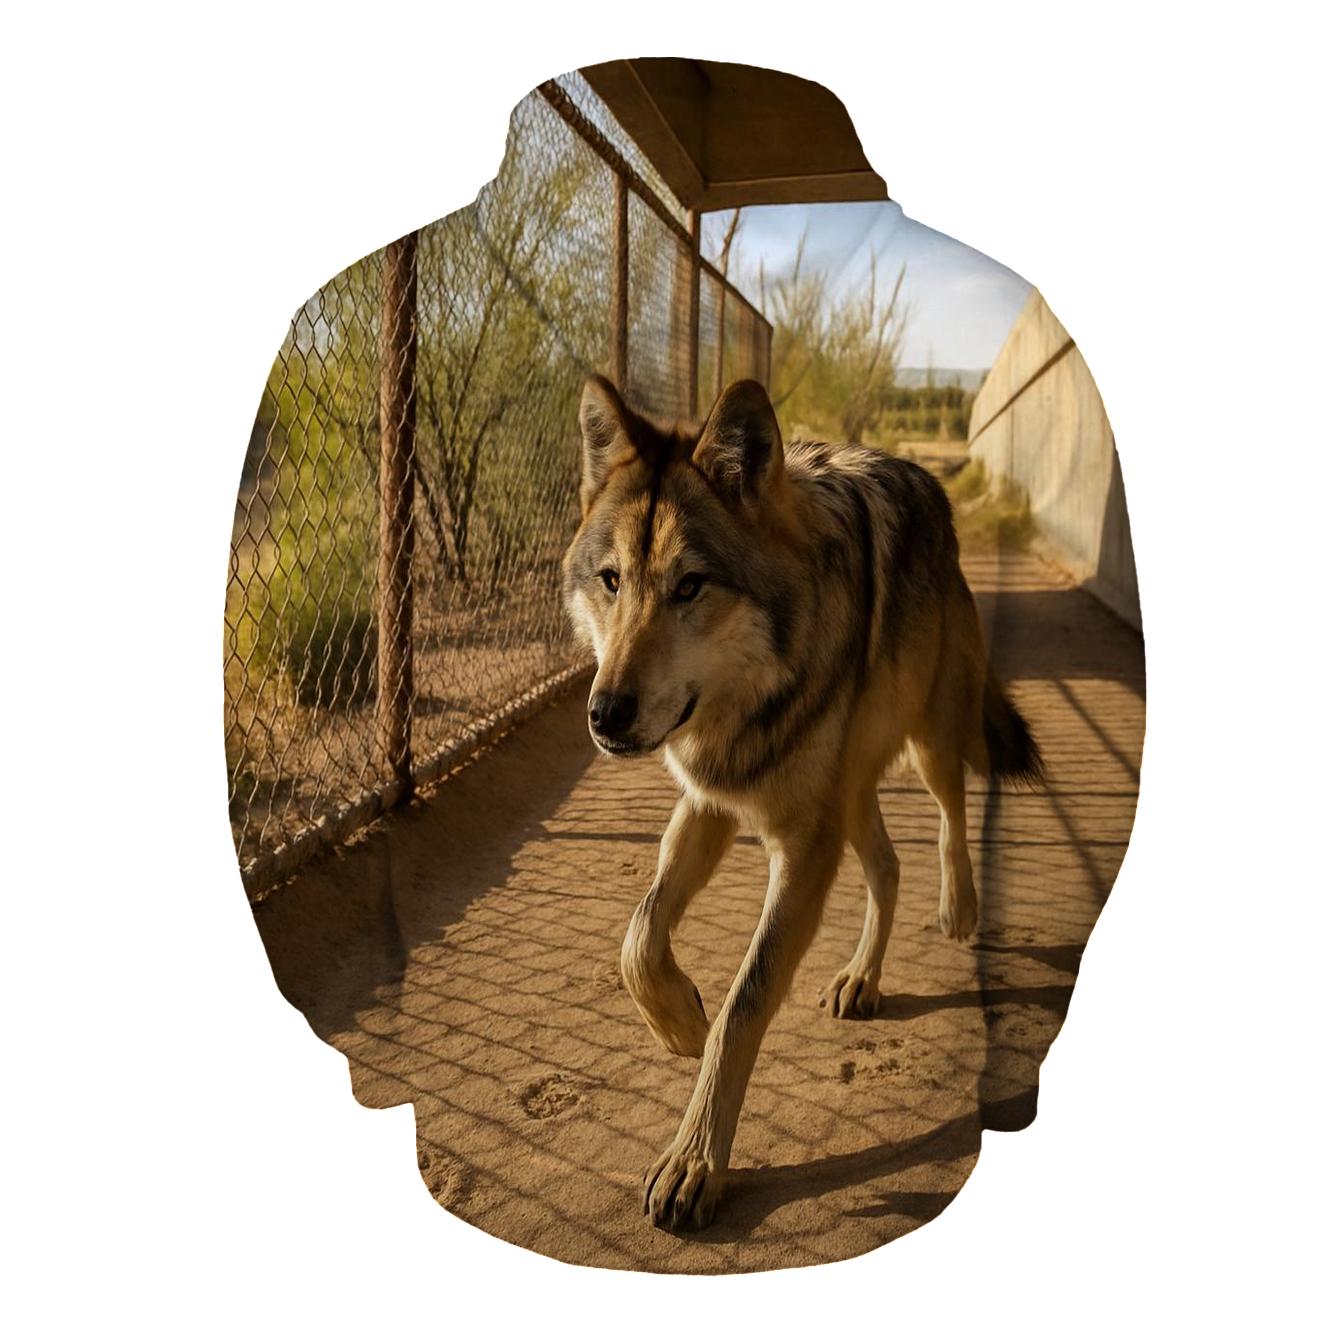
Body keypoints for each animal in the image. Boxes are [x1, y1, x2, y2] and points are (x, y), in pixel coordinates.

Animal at [561, 374, 1042, 1231]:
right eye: (611, 580)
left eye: (689, 586)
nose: (605, 714)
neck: (750, 702)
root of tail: (923, 479)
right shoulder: (709, 805)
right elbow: (638, 936)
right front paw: (678, 1022)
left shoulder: (803, 848)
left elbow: (744, 1004)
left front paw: (694, 1162)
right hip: (848, 792)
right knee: (886, 866)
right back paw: (860, 979)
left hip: (925, 740)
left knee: (950, 816)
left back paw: (957, 907)